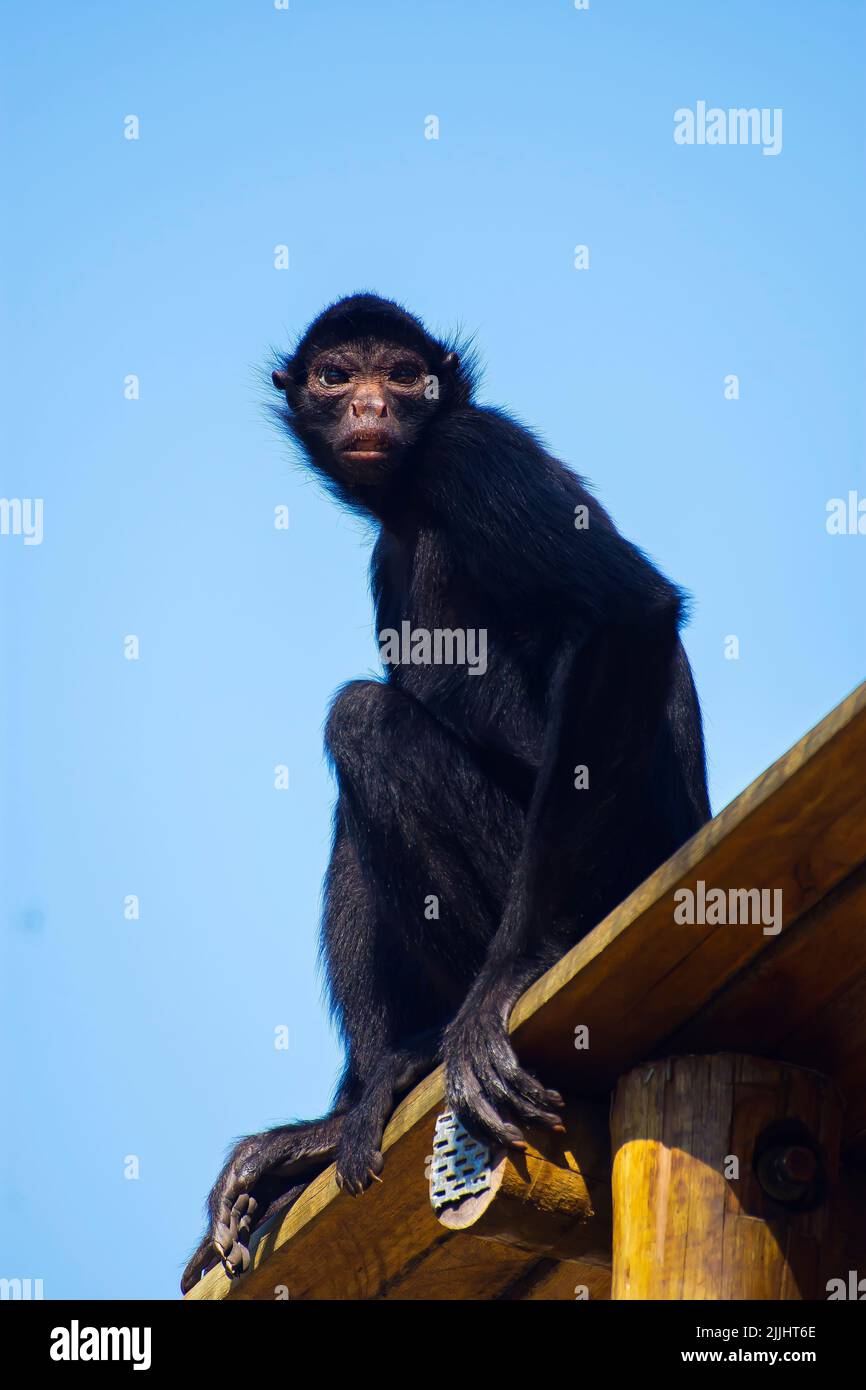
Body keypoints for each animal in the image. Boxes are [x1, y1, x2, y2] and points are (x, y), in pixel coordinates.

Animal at [180, 293, 710, 1291]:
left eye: (402, 375)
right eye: (336, 376)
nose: (372, 407)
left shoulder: (474, 451)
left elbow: (630, 613)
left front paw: (517, 969)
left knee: (364, 722)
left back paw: (431, 1044)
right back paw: (348, 1109)